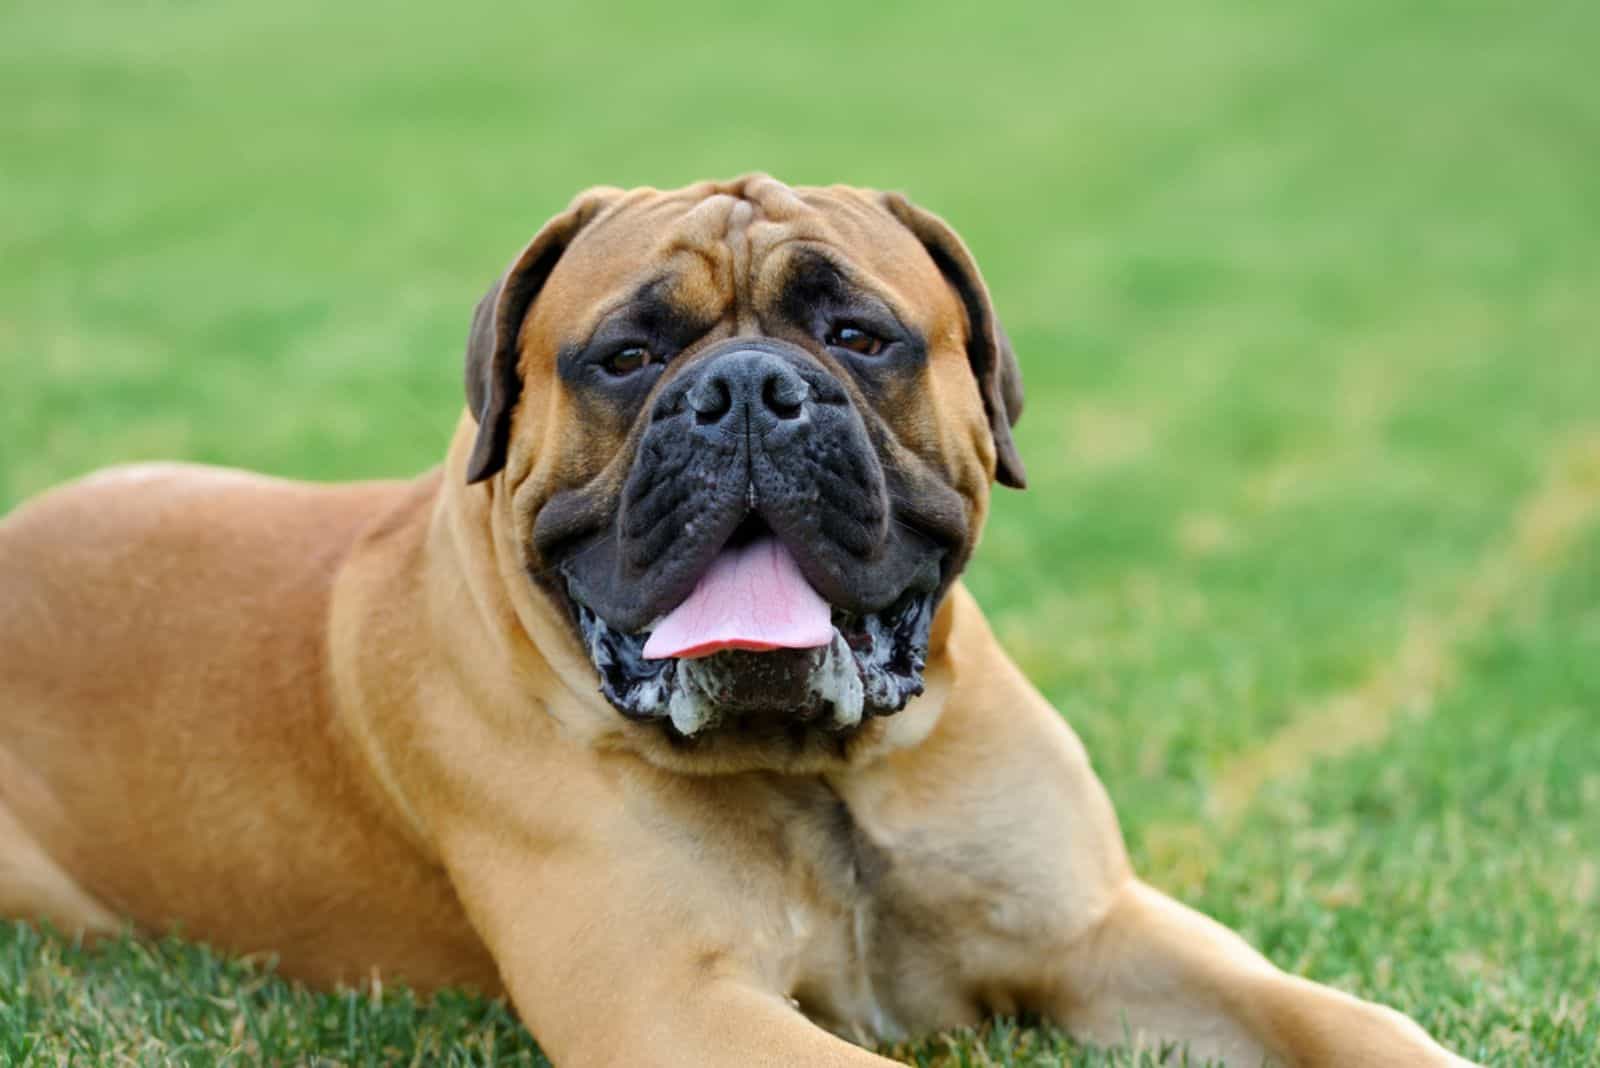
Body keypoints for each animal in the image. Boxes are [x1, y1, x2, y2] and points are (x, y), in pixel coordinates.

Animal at [0, 179, 1472, 1061]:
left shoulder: (1102, 928)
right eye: (629, 355)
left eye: (859, 333)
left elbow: (1338, 1019)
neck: (820, 770)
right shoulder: (676, 1007)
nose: (752, 388)